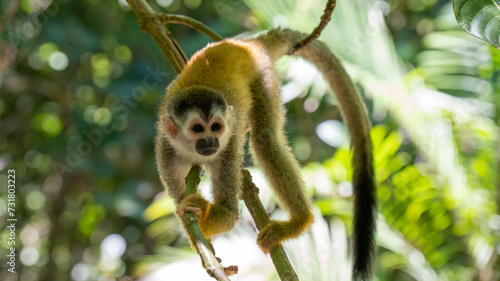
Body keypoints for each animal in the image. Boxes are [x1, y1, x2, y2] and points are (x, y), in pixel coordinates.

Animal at [156, 27, 376, 278]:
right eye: (197, 129)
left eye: (216, 127)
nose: (212, 141)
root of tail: (248, 45)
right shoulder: (165, 153)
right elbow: (180, 205)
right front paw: (204, 249)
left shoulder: (227, 149)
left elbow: (228, 214)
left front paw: (201, 212)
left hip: (264, 77)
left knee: (265, 140)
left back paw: (299, 221)